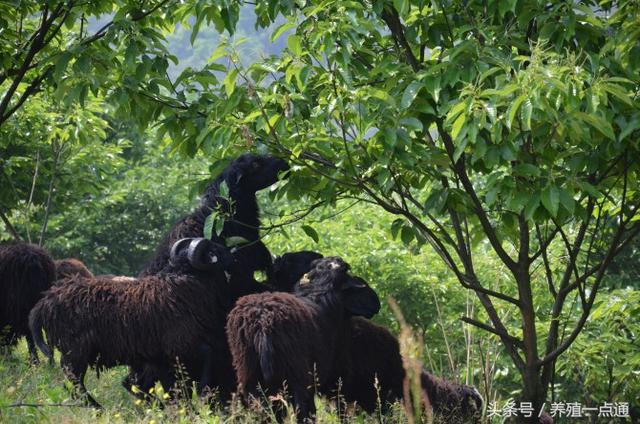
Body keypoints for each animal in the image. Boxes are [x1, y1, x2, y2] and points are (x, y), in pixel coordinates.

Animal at [28, 238, 235, 408]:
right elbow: (207, 354)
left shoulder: (166, 354)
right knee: (74, 382)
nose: (232, 257)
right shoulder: (180, 345)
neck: (185, 282)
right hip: (75, 351)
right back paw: (98, 408)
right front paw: (201, 387)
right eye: (214, 251)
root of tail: (45, 302)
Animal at [229, 256, 382, 422]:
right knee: (303, 410)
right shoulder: (336, 372)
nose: (376, 302)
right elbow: (339, 405)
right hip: (298, 375)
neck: (320, 291)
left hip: (250, 378)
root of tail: (262, 322)